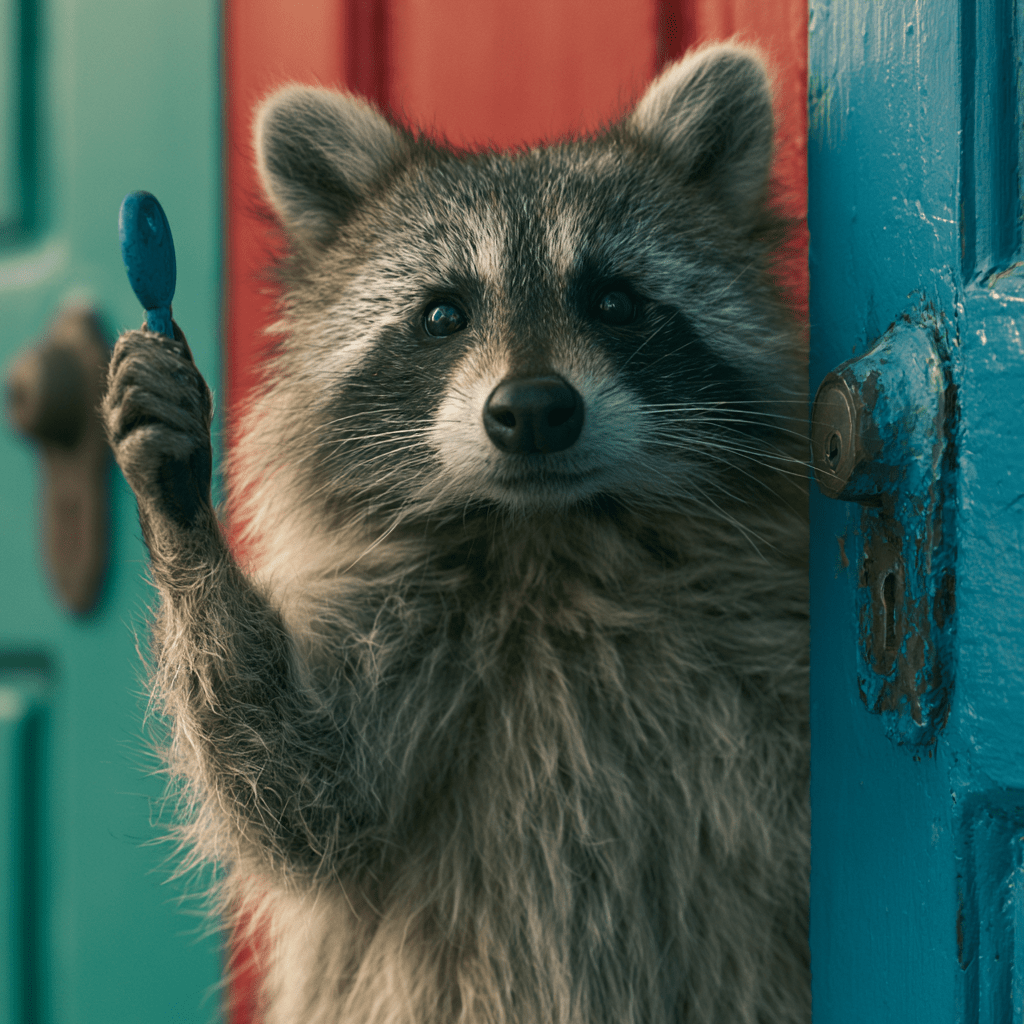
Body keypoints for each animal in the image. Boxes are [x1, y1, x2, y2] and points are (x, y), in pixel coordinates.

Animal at [103, 41, 809, 1024]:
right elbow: (299, 794)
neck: (551, 535)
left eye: (614, 301)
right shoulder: (397, 616)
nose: (535, 410)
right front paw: (182, 522)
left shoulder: (762, 623)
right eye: (443, 314)